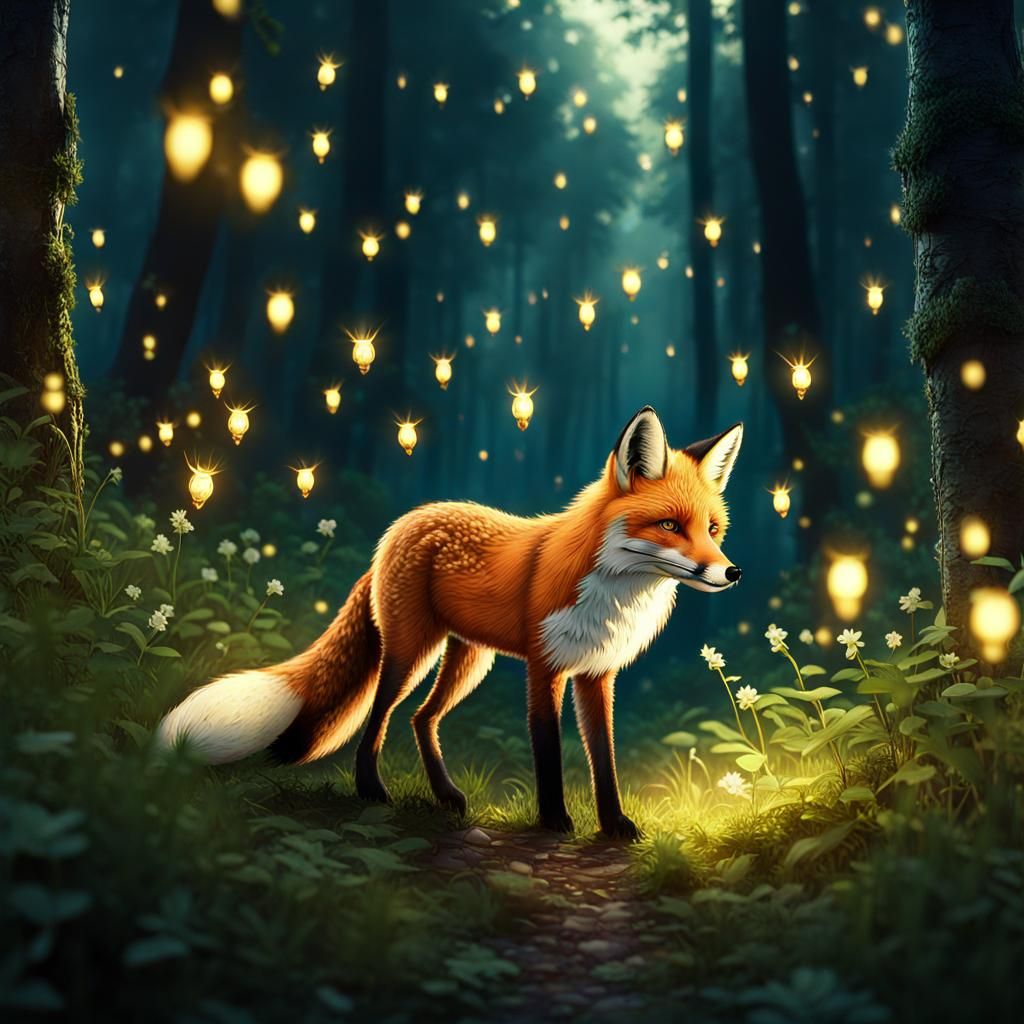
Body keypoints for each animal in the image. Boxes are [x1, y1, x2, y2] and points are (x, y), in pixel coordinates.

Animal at [157, 406, 743, 839]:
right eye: (670, 526)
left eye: (713, 529)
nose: (732, 572)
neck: (613, 595)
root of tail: (398, 527)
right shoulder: (544, 668)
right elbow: (548, 749)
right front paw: (554, 821)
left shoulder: (596, 674)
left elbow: (604, 757)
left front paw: (615, 824)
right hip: (410, 652)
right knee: (380, 717)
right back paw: (371, 791)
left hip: (469, 660)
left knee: (422, 719)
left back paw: (445, 796)